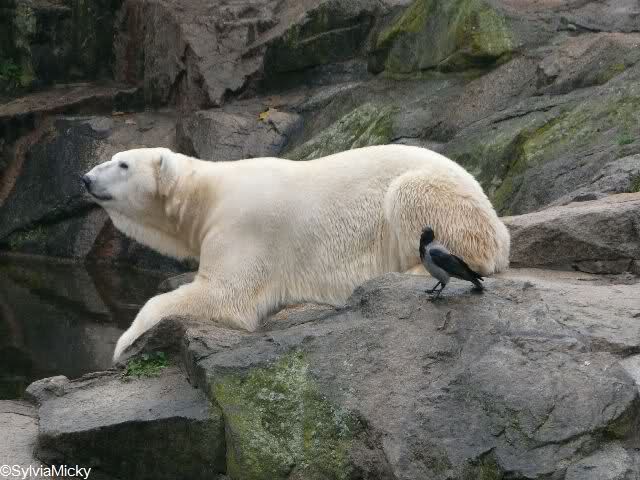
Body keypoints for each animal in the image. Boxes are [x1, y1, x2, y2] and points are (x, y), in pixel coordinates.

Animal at [82, 144, 510, 362]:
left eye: (122, 164)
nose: (85, 178)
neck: (208, 193)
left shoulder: (244, 227)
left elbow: (224, 295)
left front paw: (123, 344)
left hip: (435, 194)